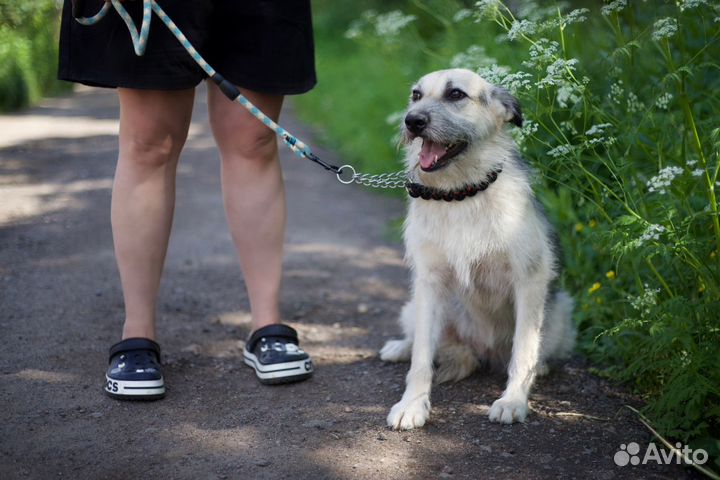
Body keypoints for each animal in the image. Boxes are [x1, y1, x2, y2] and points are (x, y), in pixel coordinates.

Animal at [380, 68, 576, 432]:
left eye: (456, 94)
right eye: (416, 95)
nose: (412, 121)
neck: (461, 194)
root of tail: (479, 350)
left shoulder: (529, 279)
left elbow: (524, 350)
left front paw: (513, 401)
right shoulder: (429, 282)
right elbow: (421, 359)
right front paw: (411, 405)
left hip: (559, 314)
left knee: (539, 350)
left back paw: (541, 368)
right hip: (413, 307)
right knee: (418, 341)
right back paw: (400, 347)